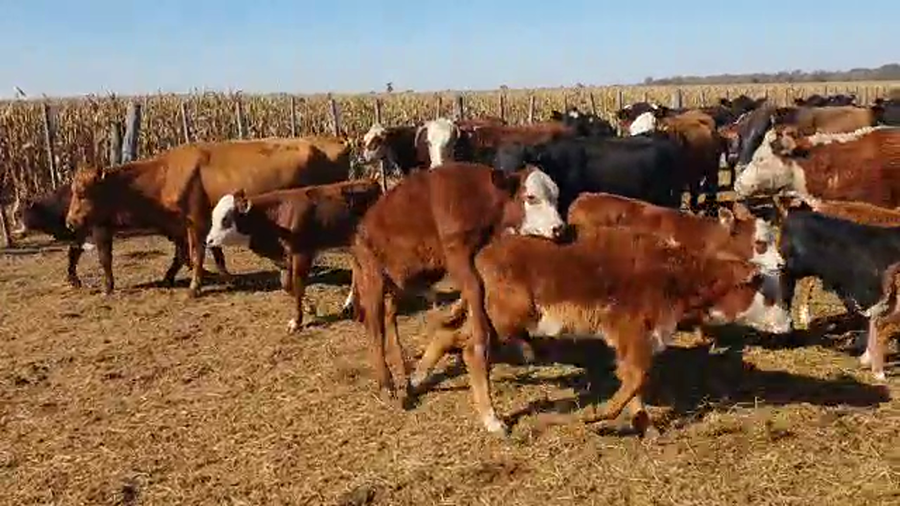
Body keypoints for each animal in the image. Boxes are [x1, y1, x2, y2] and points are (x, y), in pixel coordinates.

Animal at [64, 136, 353, 297]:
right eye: (73, 191)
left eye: (82, 193)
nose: (70, 221)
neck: (166, 173)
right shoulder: (196, 224)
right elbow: (205, 254)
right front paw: (223, 277)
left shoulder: (194, 222)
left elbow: (195, 254)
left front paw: (194, 287)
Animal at [205, 179, 382, 332]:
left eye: (225, 219)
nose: (209, 240)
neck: (276, 216)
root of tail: (371, 182)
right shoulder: (285, 258)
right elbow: (287, 285)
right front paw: (310, 308)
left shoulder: (301, 254)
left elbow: (297, 286)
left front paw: (297, 322)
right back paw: (349, 305)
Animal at [349, 162, 566, 405]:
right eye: (531, 197)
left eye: (556, 196)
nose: (560, 228)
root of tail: (360, 228)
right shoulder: (457, 255)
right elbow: (475, 291)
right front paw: (483, 341)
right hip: (372, 277)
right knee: (374, 327)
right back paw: (387, 385)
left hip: (398, 281)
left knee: (388, 317)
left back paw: (403, 371)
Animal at [409, 228, 791, 437]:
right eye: (768, 294)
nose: (788, 324)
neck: (676, 274)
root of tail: (482, 256)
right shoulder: (630, 329)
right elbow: (637, 377)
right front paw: (597, 417)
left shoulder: (639, 338)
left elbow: (635, 378)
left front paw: (645, 426)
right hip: (508, 318)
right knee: (473, 351)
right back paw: (493, 421)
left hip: (489, 318)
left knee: (451, 337)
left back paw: (415, 380)